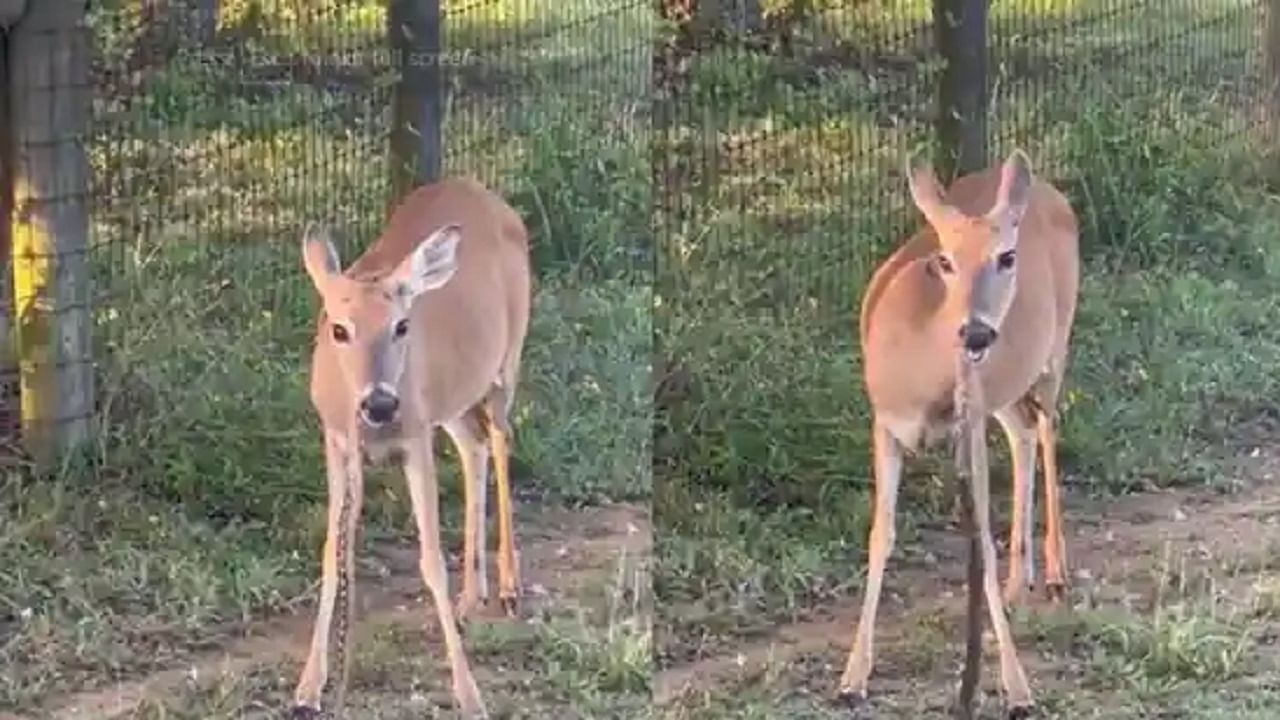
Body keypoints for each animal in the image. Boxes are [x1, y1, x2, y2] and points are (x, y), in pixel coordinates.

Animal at [290, 175, 529, 717]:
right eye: (339, 328)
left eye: (401, 326)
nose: (380, 403)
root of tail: (484, 192)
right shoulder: (338, 442)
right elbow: (333, 554)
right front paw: (309, 686)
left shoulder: (415, 436)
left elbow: (431, 560)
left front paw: (470, 694)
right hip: (454, 395)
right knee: (473, 445)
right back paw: (471, 598)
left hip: (506, 360)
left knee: (500, 439)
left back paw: (508, 586)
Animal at [839, 148, 1080, 712]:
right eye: (945, 261)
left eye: (1007, 257)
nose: (975, 331)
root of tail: (1048, 190)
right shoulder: (884, 423)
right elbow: (880, 534)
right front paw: (853, 676)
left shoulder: (966, 426)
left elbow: (981, 547)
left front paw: (1018, 688)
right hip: (1004, 390)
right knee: (1023, 431)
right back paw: (1019, 583)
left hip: (1055, 346)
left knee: (1048, 427)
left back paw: (1055, 572)